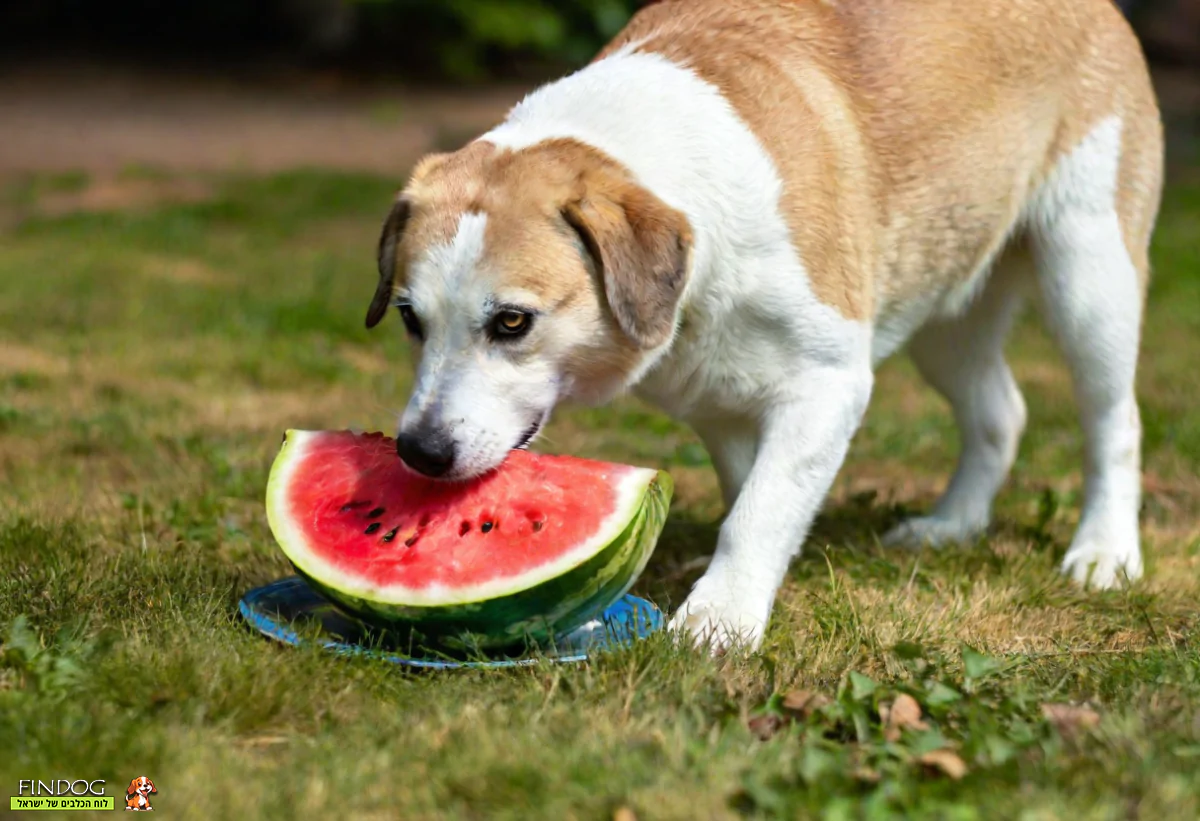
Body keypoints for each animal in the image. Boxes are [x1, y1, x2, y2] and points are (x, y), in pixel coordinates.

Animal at [364, 0, 1161, 652]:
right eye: (409, 317)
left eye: (511, 321)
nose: (420, 451)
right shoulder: (718, 404)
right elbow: (751, 492)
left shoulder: (831, 385)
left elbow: (759, 510)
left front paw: (719, 620)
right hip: (946, 304)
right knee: (1000, 410)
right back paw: (953, 524)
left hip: (1088, 274)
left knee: (1114, 421)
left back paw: (1105, 550)